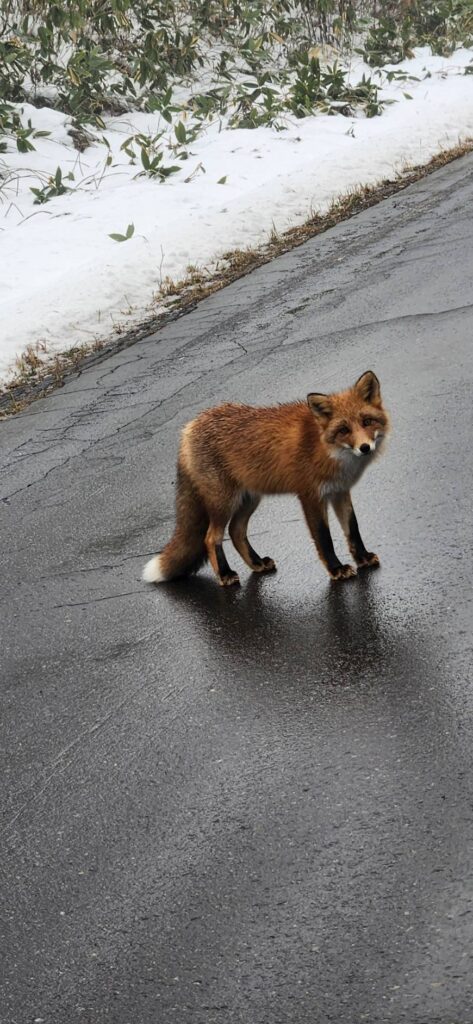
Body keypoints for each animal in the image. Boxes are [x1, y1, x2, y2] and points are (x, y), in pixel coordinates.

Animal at [142, 372, 389, 589]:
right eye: (344, 430)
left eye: (367, 421)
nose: (365, 448)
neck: (328, 450)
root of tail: (189, 427)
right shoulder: (310, 496)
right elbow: (324, 539)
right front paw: (336, 569)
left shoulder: (339, 491)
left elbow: (353, 529)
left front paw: (363, 558)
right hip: (224, 502)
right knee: (211, 538)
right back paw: (225, 575)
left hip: (249, 499)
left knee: (236, 531)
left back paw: (257, 563)